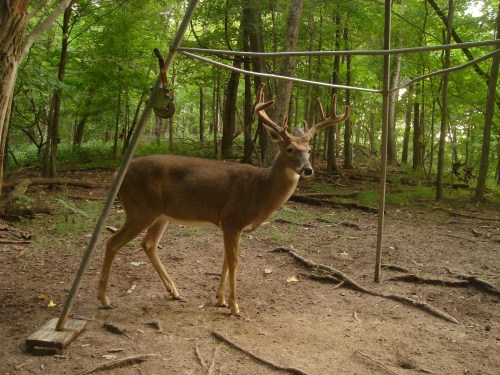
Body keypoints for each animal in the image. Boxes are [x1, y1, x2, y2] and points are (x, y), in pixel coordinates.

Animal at [96, 83, 348, 316]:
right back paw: (105, 299)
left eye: (308, 149)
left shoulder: (231, 226)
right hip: (139, 208)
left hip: (160, 214)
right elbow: (234, 262)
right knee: (113, 242)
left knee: (148, 244)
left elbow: (226, 260)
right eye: (289, 148)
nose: (308, 169)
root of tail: (118, 172)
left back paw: (174, 291)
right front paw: (235, 307)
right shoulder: (232, 219)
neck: (261, 190)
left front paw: (221, 299)